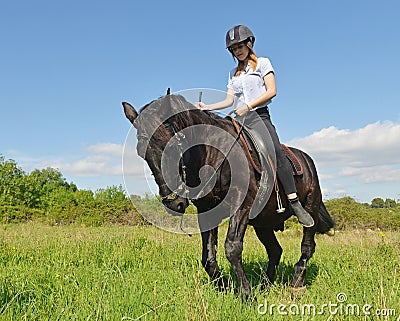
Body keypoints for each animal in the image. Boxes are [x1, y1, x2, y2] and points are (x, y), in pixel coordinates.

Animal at [122, 93, 334, 298]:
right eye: (141, 153)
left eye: (173, 146)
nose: (173, 203)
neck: (213, 153)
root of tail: (308, 160)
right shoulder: (207, 211)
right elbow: (208, 257)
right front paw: (224, 285)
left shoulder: (242, 205)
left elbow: (232, 248)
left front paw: (246, 294)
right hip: (263, 223)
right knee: (275, 250)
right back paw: (265, 284)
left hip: (310, 209)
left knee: (307, 246)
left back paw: (297, 284)